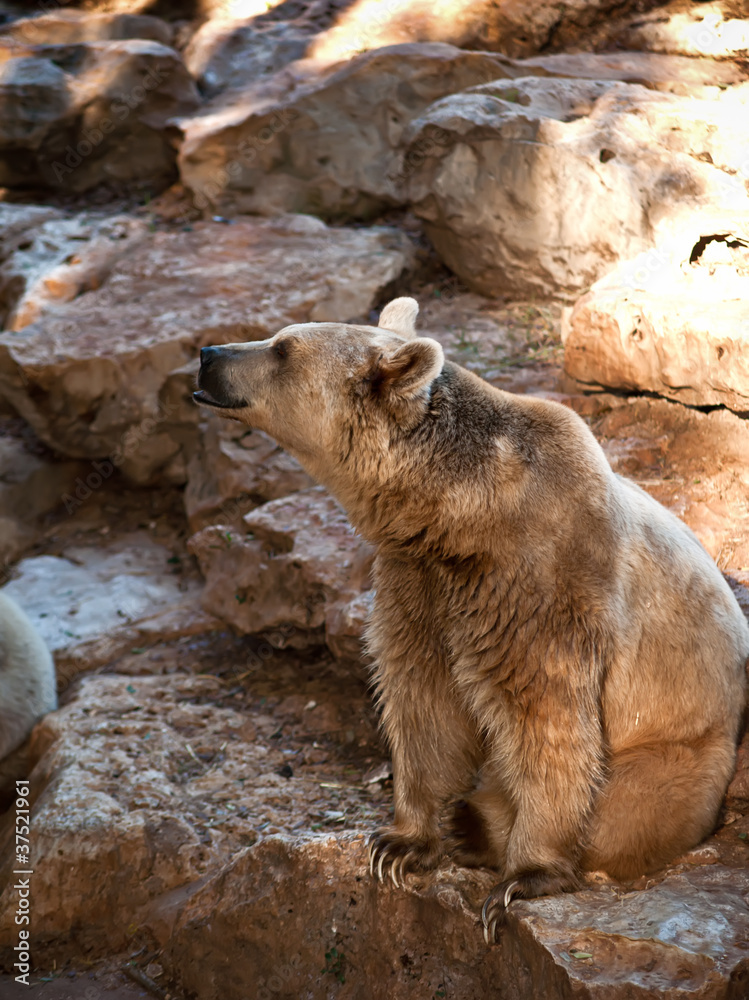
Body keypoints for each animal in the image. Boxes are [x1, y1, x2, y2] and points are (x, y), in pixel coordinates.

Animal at [194, 296, 749, 943]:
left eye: (282, 348)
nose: (208, 354)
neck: (462, 515)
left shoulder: (542, 582)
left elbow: (547, 718)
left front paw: (522, 878)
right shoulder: (418, 582)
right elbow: (421, 697)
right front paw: (401, 842)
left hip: (679, 755)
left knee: (627, 808)